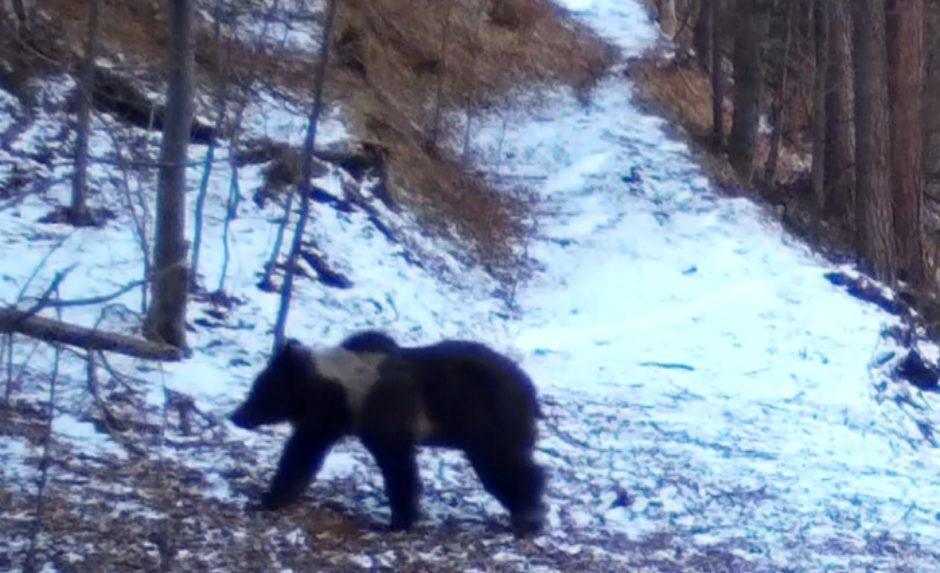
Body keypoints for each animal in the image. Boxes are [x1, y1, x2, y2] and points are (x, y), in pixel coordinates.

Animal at [229, 328, 548, 536]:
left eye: (260, 389)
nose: (236, 415)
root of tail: (531, 391)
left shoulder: (384, 416)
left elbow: (398, 467)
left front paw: (397, 521)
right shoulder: (328, 422)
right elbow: (302, 454)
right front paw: (273, 496)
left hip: (489, 418)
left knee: (504, 464)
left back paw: (528, 515)